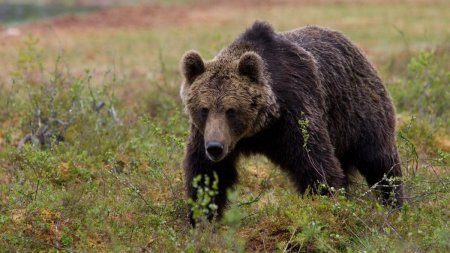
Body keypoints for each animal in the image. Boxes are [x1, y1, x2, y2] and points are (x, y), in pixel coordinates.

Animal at [179, 21, 404, 223]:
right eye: (204, 109)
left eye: (231, 110)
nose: (215, 147)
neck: (260, 128)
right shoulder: (205, 134)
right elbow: (206, 174)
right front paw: (202, 219)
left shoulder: (294, 112)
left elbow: (316, 164)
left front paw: (325, 206)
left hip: (360, 112)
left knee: (379, 161)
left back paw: (394, 205)